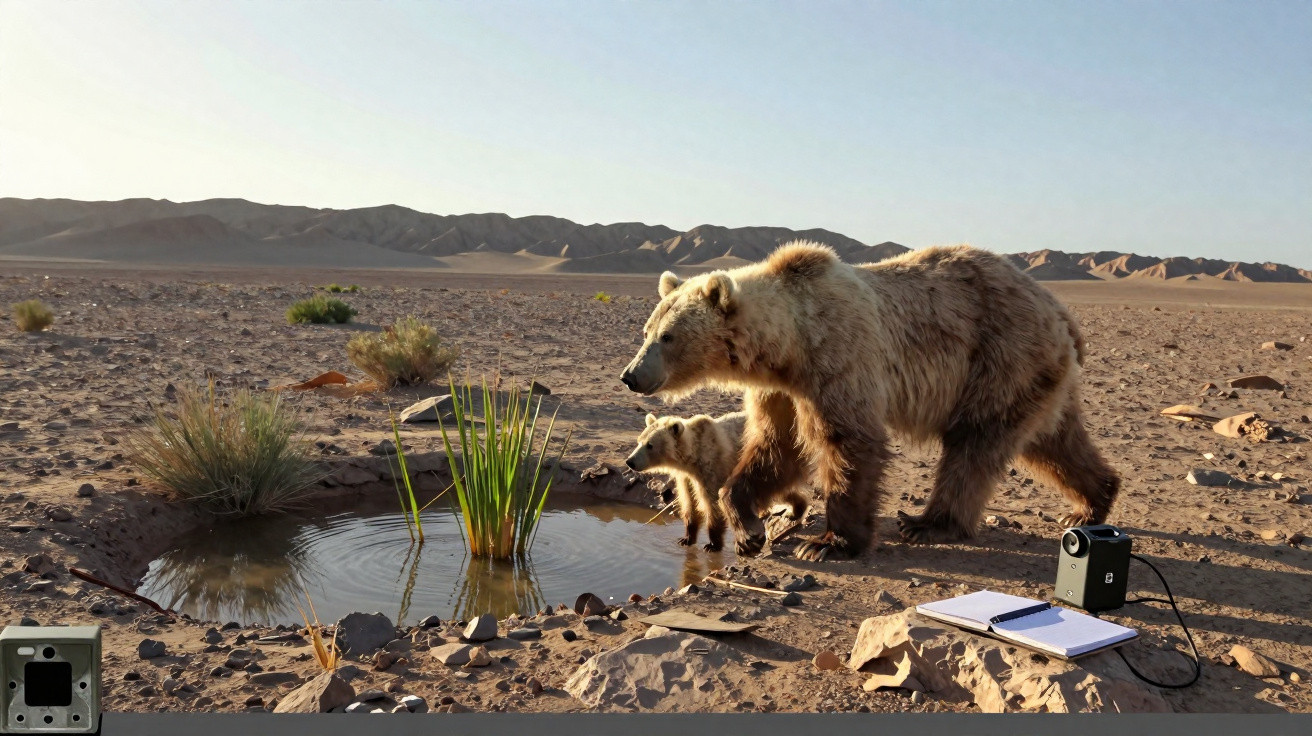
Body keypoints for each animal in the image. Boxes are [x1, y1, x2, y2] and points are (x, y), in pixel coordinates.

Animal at [624, 411, 808, 551]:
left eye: (650, 445)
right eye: (639, 441)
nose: (630, 461)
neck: (691, 459)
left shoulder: (712, 469)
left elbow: (713, 504)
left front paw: (712, 544)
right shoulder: (685, 478)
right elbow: (689, 503)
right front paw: (686, 538)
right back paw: (793, 509)